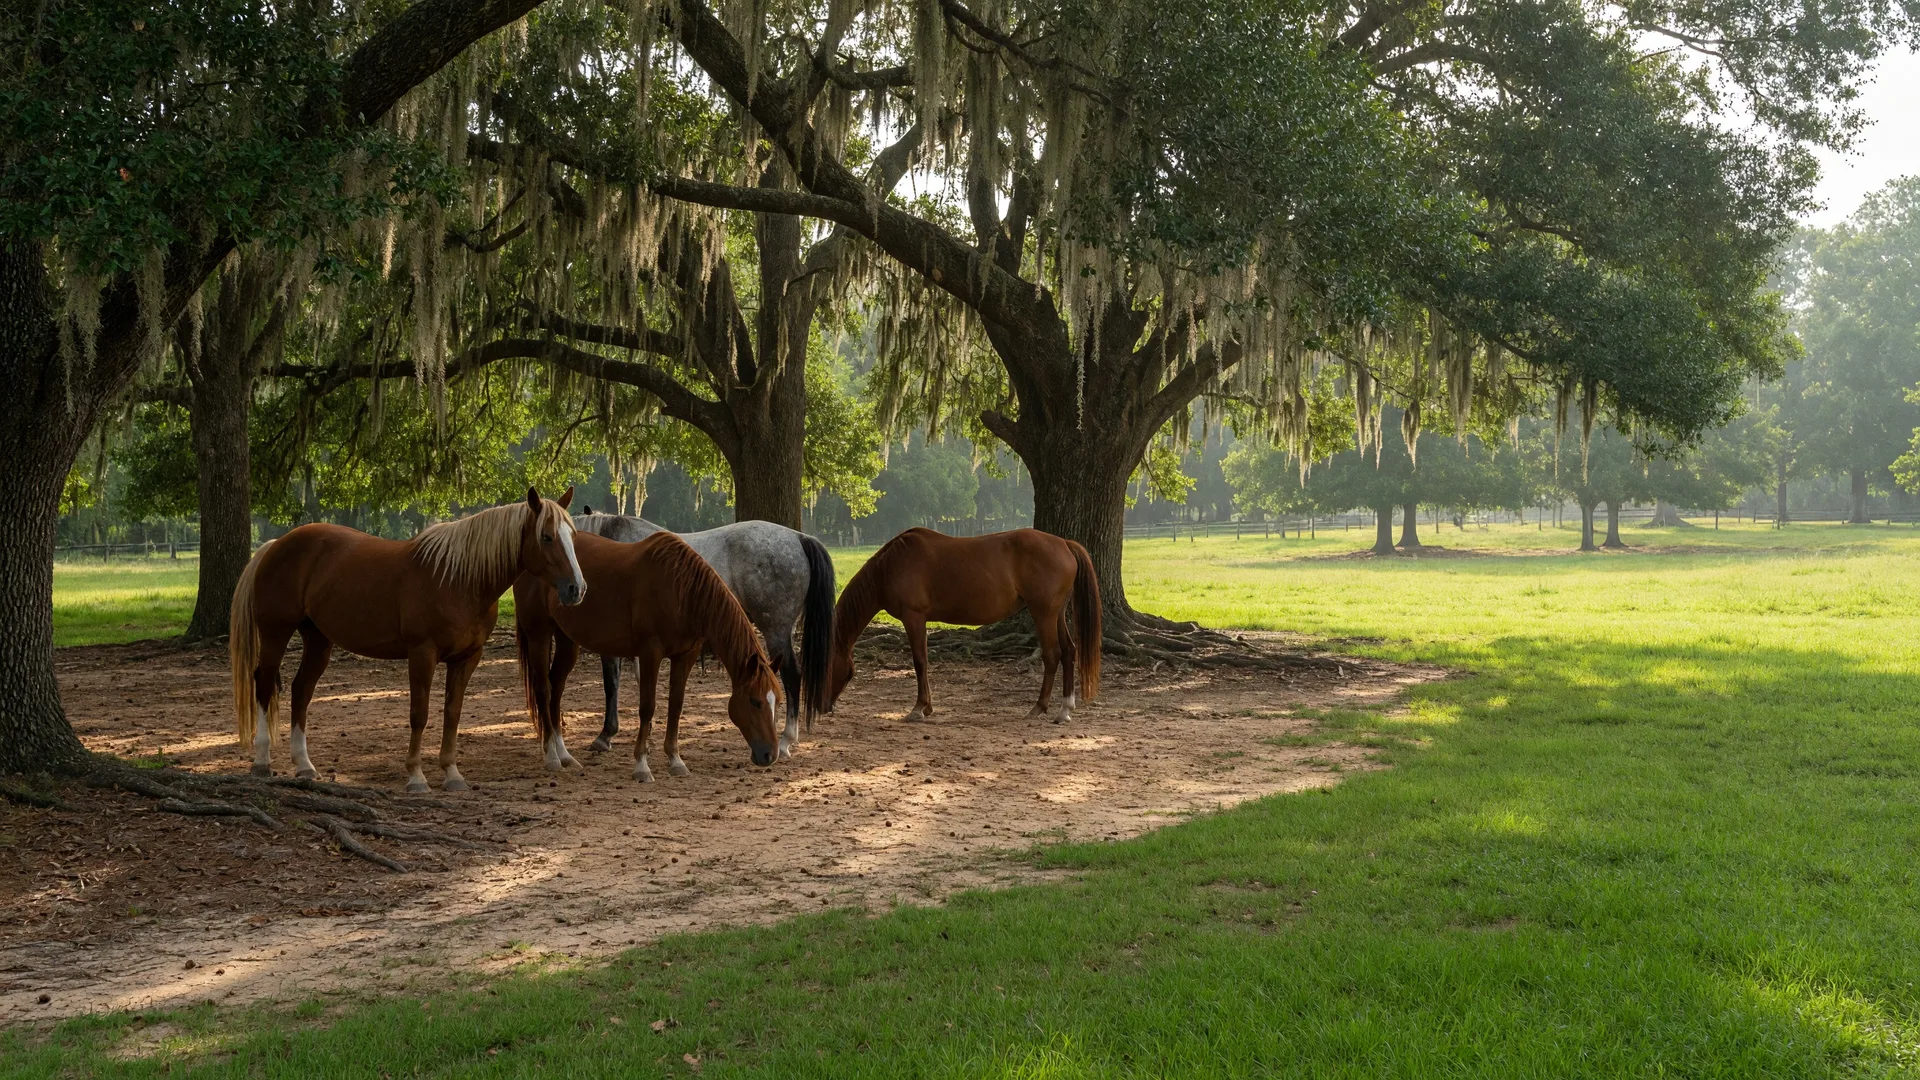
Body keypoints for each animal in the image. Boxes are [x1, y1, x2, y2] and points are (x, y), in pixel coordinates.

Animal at [229, 487, 586, 793]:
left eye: (573, 536)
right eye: (546, 536)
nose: (576, 589)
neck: (459, 579)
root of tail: (276, 545)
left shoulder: (467, 658)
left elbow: (452, 713)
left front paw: (452, 774)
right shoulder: (422, 654)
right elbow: (420, 714)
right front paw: (416, 777)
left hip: (318, 641)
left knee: (300, 690)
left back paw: (304, 765)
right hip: (275, 633)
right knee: (264, 685)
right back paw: (262, 762)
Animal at [514, 529, 783, 780]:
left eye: (778, 702)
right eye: (755, 701)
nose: (770, 755)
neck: (680, 589)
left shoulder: (685, 656)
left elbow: (676, 706)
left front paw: (676, 760)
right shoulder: (650, 654)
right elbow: (647, 706)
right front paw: (642, 765)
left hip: (567, 640)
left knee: (556, 688)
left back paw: (565, 755)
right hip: (539, 635)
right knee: (543, 690)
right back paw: (552, 757)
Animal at [571, 509, 834, 761]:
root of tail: (799, 538)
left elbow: (611, 684)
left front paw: (606, 735)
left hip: (775, 630)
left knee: (792, 675)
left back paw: (786, 740)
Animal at [825, 527, 1102, 723]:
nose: (825, 706)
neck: (891, 566)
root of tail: (1064, 544)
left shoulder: (914, 618)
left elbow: (919, 661)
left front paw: (918, 708)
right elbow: (924, 661)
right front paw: (928, 707)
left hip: (1042, 613)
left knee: (1052, 655)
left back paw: (1038, 708)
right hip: (1056, 614)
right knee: (1068, 652)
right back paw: (1064, 710)